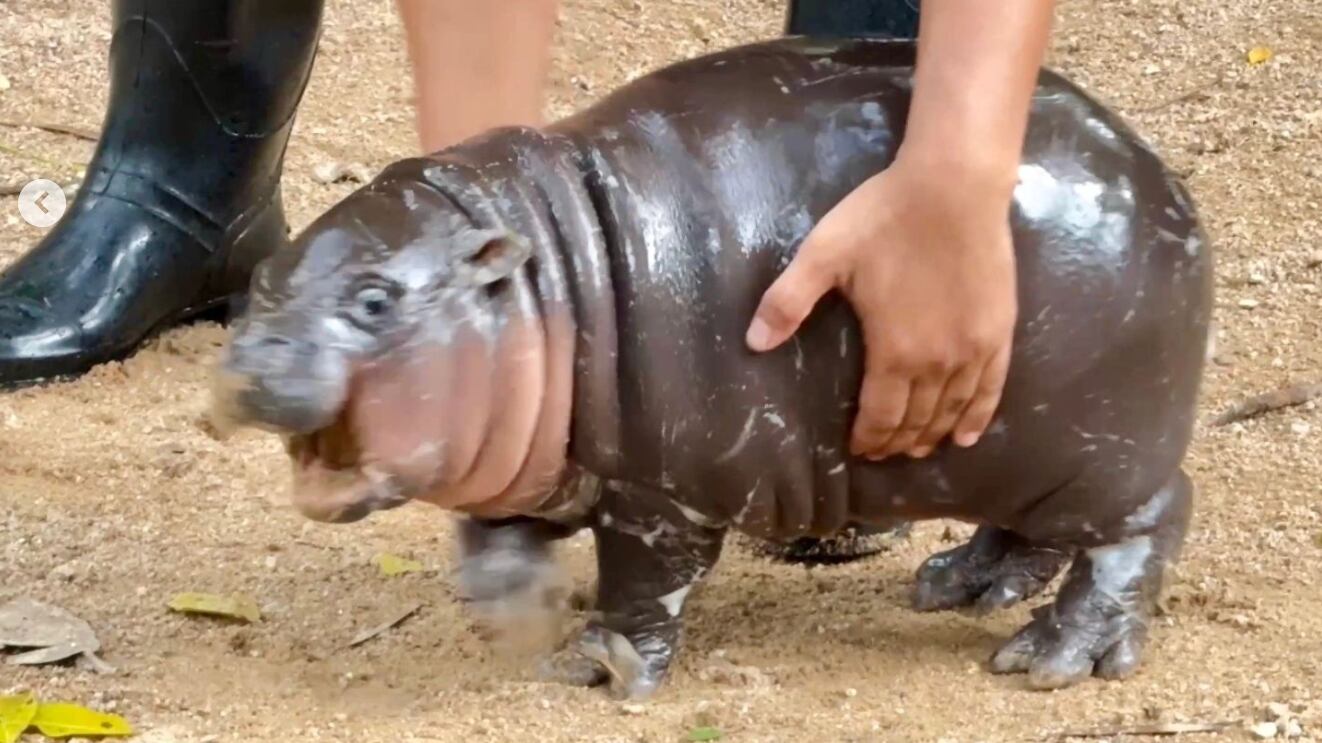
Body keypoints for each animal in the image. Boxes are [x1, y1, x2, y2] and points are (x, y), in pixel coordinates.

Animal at [210, 37, 1214, 700]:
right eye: (261, 279)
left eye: (375, 299)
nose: (249, 362)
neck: (546, 276)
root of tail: (1162, 180)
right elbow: (499, 533)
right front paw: (517, 610)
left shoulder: (662, 498)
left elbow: (643, 586)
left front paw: (597, 665)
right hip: (1014, 449)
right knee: (1032, 532)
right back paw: (957, 584)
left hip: (1101, 450)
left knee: (1145, 524)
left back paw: (1050, 659)